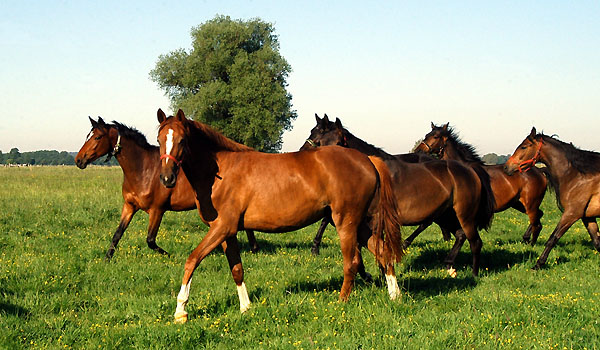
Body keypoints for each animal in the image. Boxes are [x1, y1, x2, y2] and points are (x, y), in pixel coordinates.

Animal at [73, 117, 260, 260]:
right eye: (88, 135)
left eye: (97, 137)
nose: (78, 160)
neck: (143, 169)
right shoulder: (129, 206)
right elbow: (117, 233)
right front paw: (107, 259)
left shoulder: (157, 210)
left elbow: (150, 240)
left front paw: (170, 255)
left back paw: (254, 248)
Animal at [157, 108, 406, 322]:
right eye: (159, 140)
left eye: (182, 140)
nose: (167, 178)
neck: (220, 171)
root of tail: (367, 160)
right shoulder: (227, 233)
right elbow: (237, 269)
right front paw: (245, 307)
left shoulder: (222, 228)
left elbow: (192, 260)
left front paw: (180, 311)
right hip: (356, 223)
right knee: (383, 252)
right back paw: (395, 296)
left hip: (346, 222)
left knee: (352, 262)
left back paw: (341, 302)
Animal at [298, 115, 492, 278]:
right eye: (313, 132)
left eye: (320, 139)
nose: (303, 155)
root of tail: (469, 169)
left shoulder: (373, 221)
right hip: (445, 214)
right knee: (459, 234)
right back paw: (448, 264)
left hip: (462, 214)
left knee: (474, 241)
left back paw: (474, 274)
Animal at [414, 123, 548, 246]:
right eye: (427, 135)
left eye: (435, 136)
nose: (418, 150)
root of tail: (540, 171)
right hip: (518, 203)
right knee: (539, 215)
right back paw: (526, 238)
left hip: (530, 203)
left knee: (537, 221)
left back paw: (529, 242)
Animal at [504, 127, 600, 270]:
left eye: (523, 147)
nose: (506, 167)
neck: (576, 176)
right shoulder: (587, 216)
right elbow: (597, 242)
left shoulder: (571, 214)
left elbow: (552, 238)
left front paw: (538, 264)